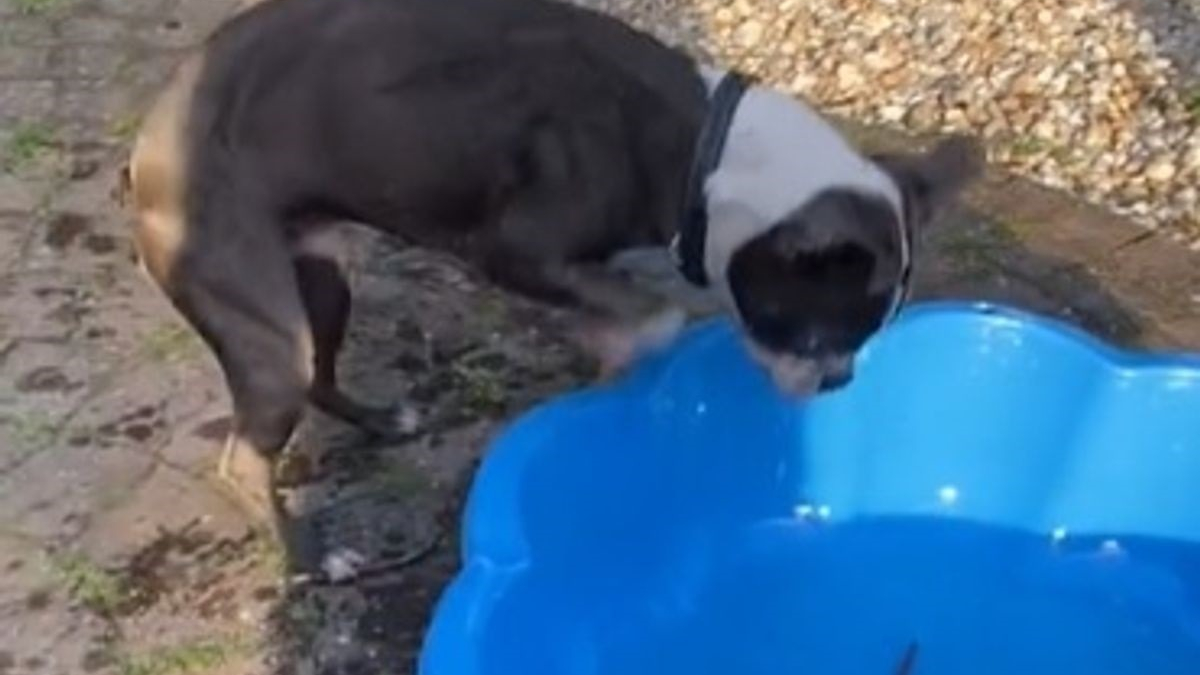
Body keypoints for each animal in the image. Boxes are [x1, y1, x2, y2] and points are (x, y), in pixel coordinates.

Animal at [121, 0, 984, 538]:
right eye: (808, 327)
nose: (840, 380)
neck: (708, 156)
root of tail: (149, 139)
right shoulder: (514, 250)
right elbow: (651, 313)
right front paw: (627, 340)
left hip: (323, 281)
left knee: (322, 377)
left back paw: (383, 421)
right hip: (268, 326)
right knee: (244, 456)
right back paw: (309, 556)